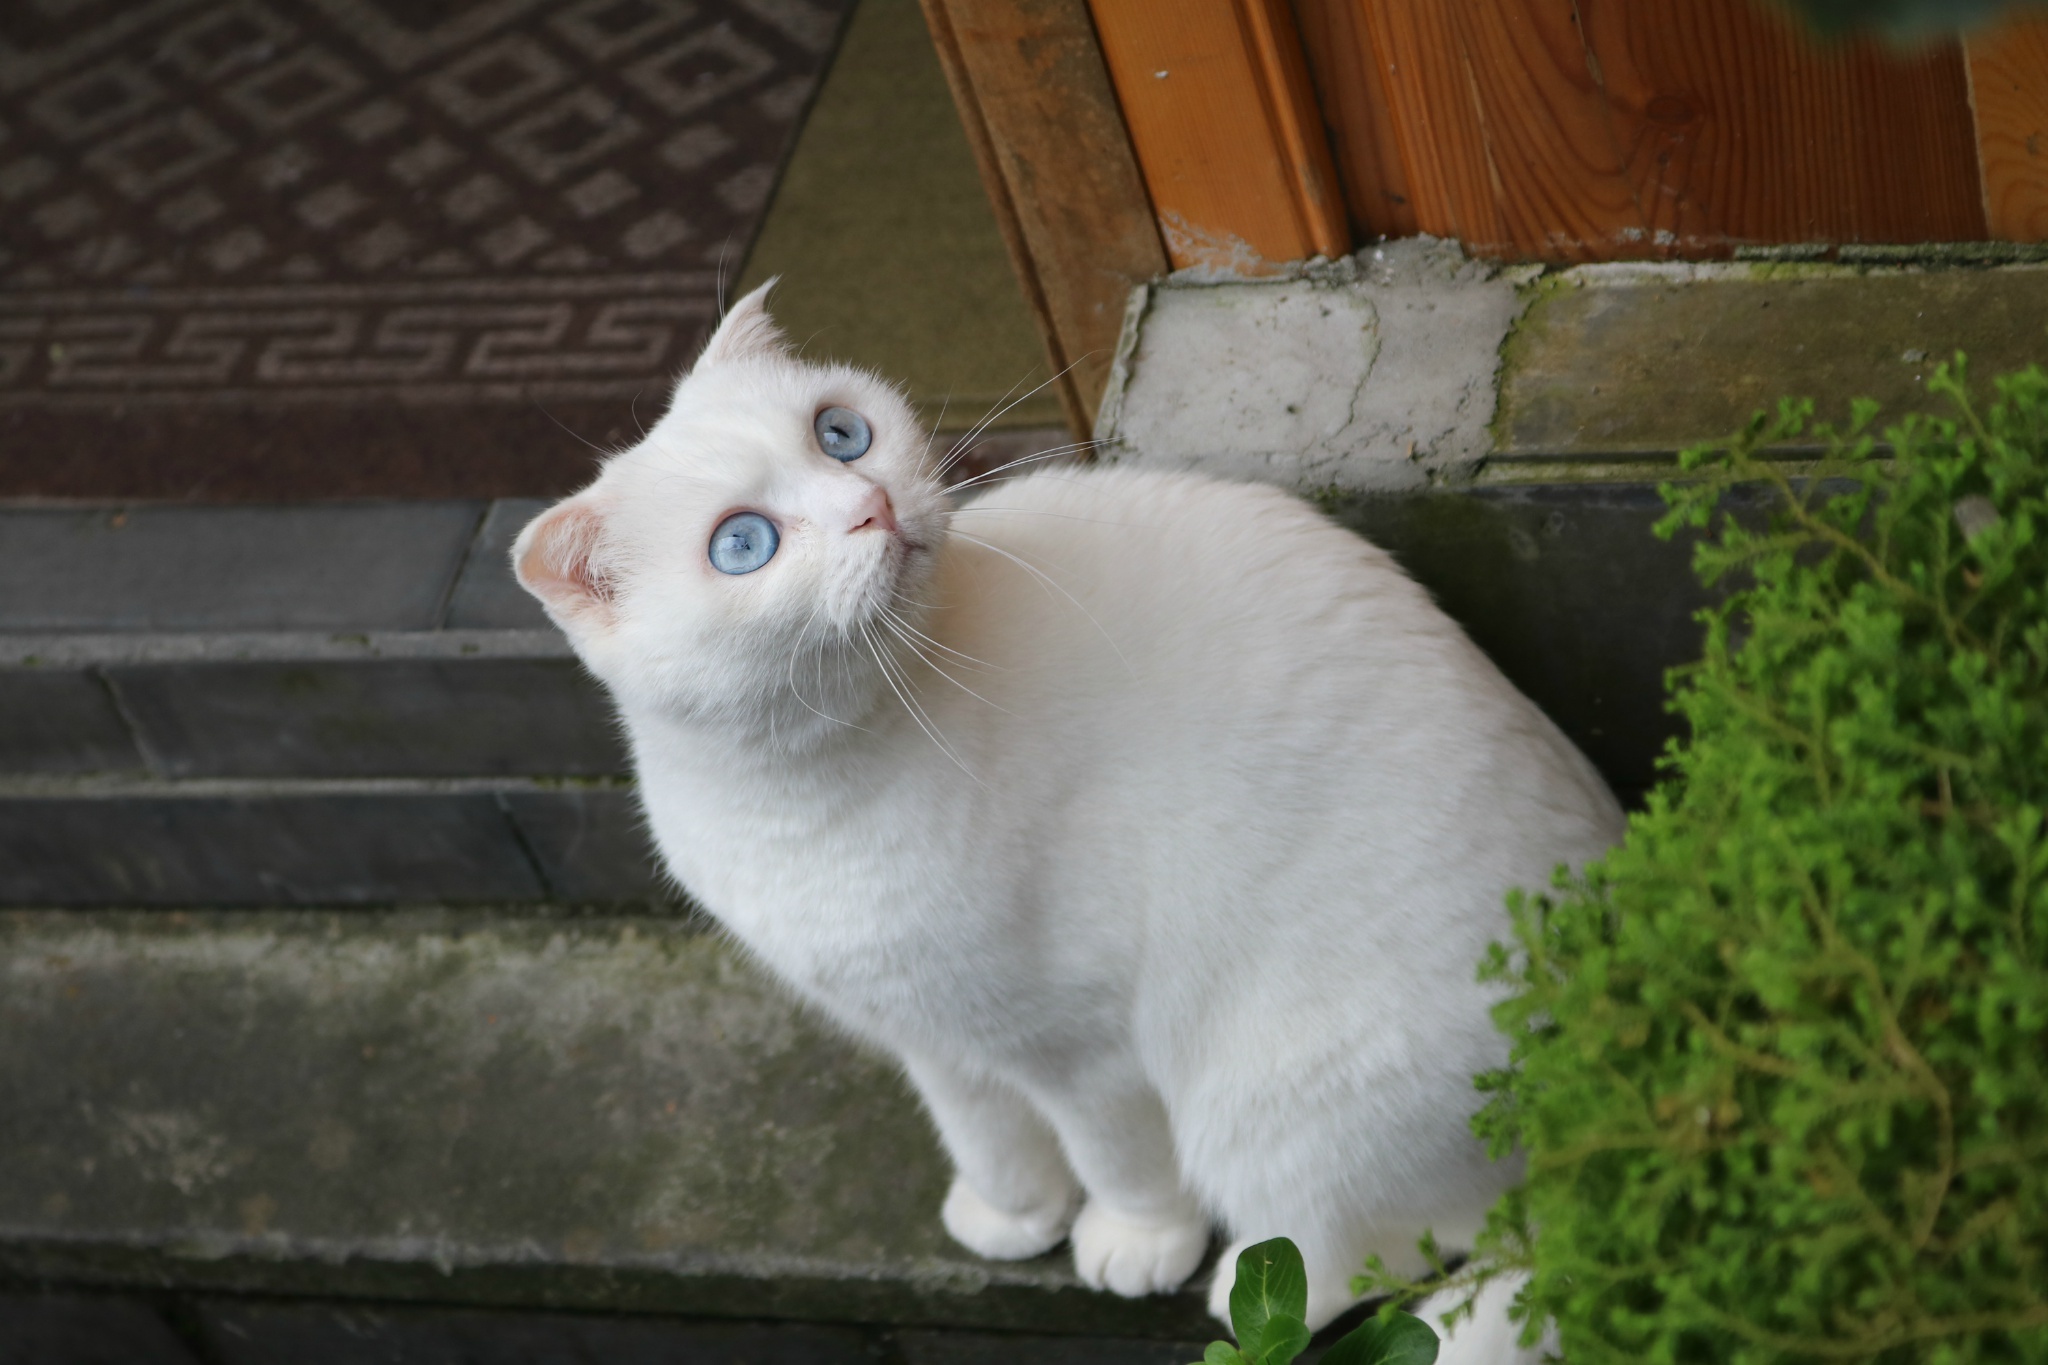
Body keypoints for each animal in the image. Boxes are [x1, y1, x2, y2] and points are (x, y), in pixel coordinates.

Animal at [516, 286, 1630, 1358]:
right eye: (742, 544)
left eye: (840, 434)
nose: (871, 502)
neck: (805, 789)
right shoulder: (926, 1028)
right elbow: (982, 1131)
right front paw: (1013, 1214)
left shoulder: (1079, 1041)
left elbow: (1118, 1157)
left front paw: (1133, 1238)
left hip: (1266, 1098)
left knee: (1372, 1251)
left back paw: (1249, 1292)